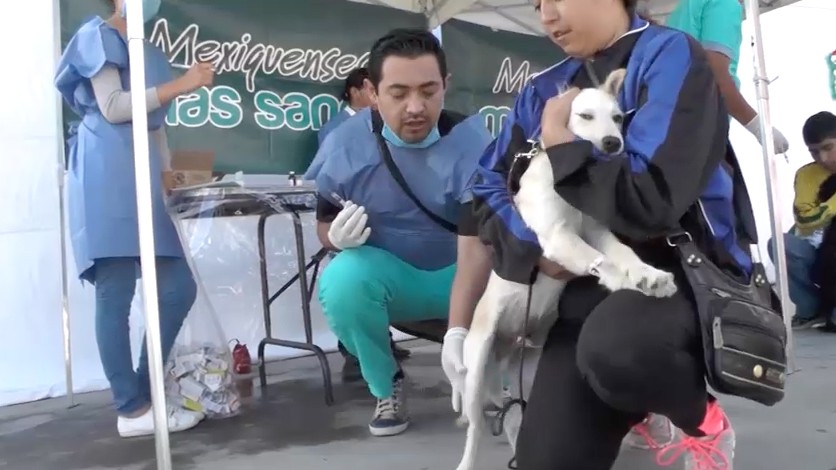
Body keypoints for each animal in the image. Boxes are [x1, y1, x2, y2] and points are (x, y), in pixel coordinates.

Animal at [454, 69, 676, 470]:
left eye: (618, 118)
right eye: (585, 116)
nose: (612, 143)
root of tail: (510, 344)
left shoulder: (598, 230)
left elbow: (622, 252)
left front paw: (649, 276)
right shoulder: (558, 238)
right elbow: (600, 261)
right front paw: (624, 283)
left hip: (528, 367)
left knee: (516, 420)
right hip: (476, 369)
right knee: (476, 428)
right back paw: (467, 461)